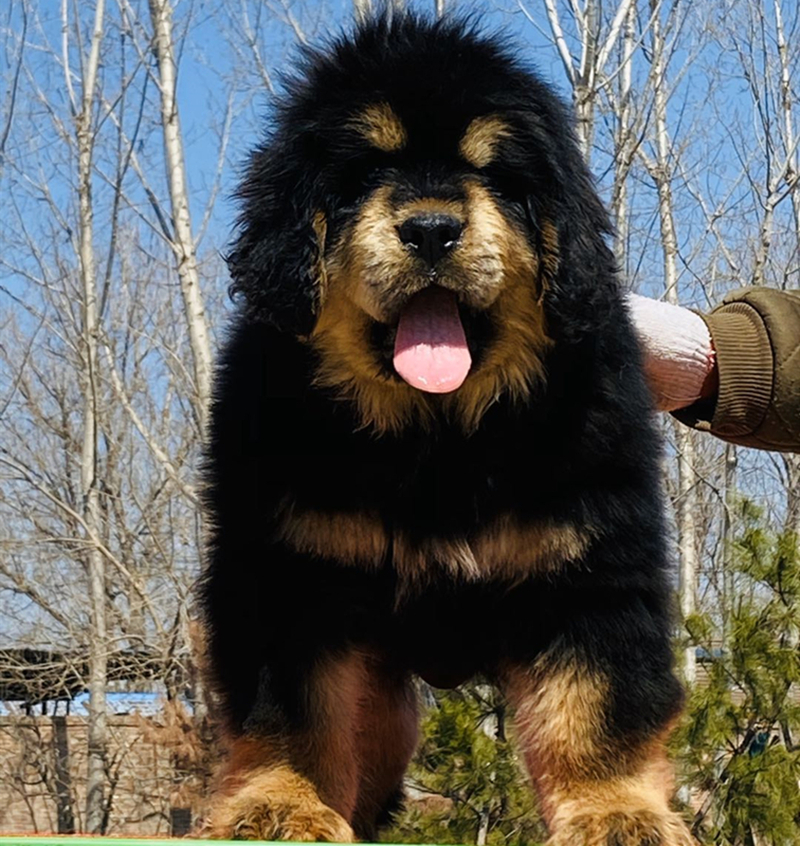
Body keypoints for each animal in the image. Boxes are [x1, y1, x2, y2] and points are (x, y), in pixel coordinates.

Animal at [202, 13, 692, 846]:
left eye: (492, 173)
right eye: (365, 171)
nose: (431, 228)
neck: (438, 439)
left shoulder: (591, 563)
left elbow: (596, 705)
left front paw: (617, 811)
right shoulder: (284, 571)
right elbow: (291, 713)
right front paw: (281, 803)